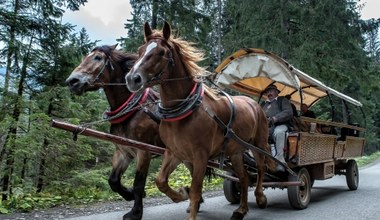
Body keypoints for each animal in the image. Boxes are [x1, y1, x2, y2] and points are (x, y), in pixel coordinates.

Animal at [64, 45, 163, 220]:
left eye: (97, 57)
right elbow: (113, 181)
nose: (72, 82)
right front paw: (129, 194)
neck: (134, 111)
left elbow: (138, 184)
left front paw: (135, 213)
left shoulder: (144, 152)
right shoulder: (123, 151)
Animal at [124, 21, 276, 219]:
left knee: (260, 168)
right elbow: (161, 181)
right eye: (140, 50)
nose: (132, 78)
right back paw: (241, 209)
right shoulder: (175, 153)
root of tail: (255, 104)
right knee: (243, 178)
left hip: (258, 144)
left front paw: (190, 203)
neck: (183, 114)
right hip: (235, 152)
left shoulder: (200, 156)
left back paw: (260, 197)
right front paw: (181, 194)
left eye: (161, 52)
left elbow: (196, 190)